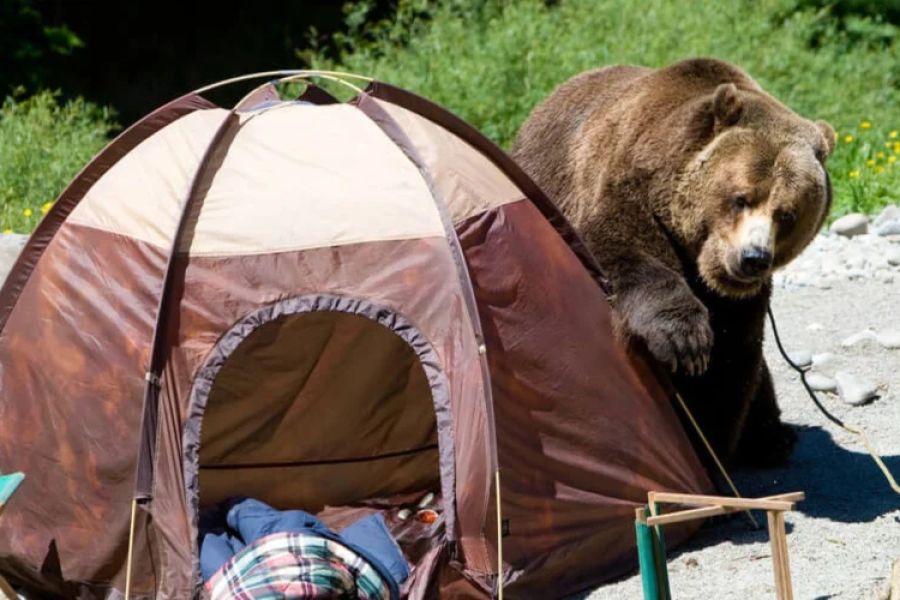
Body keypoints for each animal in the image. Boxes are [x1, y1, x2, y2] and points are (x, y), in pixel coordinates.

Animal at [511, 58, 834, 467]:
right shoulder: (627, 189)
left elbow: (733, 357)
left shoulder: (740, 300)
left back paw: (772, 438)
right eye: (741, 197)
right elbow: (626, 251)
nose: (753, 258)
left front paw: (710, 440)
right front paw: (684, 342)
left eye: (787, 213)